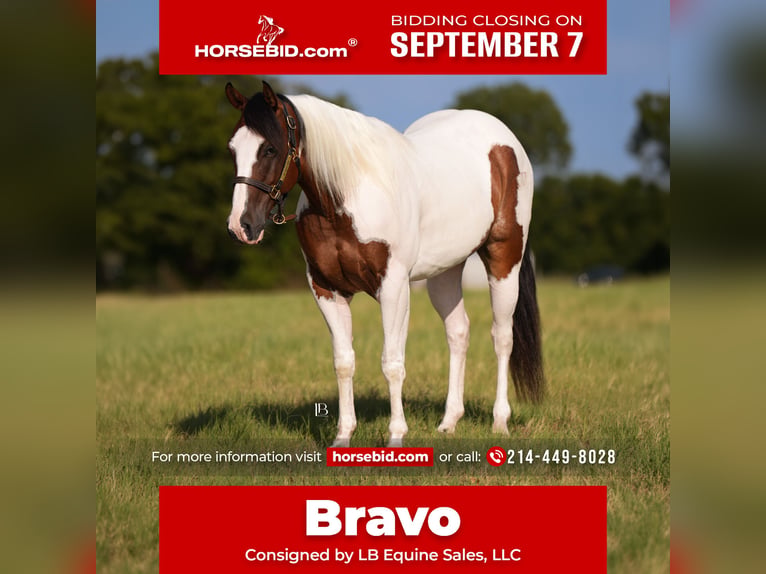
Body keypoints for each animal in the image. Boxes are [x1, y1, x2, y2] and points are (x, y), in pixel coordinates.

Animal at [224, 81, 545, 447]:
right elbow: (343, 362)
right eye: (233, 149)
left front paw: (395, 436)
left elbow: (392, 362)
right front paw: (343, 436)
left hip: (505, 258)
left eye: (269, 149)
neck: (346, 197)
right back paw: (449, 422)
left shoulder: (393, 287)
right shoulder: (326, 289)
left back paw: (500, 422)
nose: (241, 226)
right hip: (445, 271)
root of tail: (505, 139)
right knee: (458, 332)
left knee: (502, 336)